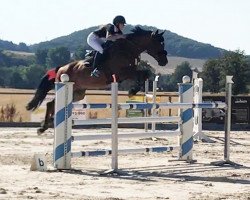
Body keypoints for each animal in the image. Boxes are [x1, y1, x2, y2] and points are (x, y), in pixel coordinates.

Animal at [26, 26, 168, 133]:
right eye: (158, 43)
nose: (164, 61)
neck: (128, 49)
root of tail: (61, 68)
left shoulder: (126, 73)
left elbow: (145, 74)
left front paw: (133, 90)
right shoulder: (123, 72)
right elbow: (142, 74)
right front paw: (132, 91)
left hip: (77, 93)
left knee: (52, 103)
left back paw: (47, 124)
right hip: (67, 86)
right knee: (51, 103)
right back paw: (43, 127)